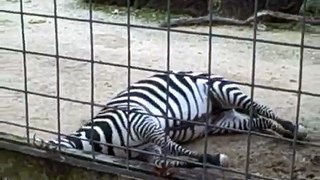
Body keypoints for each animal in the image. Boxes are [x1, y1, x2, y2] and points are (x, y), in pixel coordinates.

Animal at [32, 71, 304, 171]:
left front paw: (213, 158)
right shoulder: (147, 153)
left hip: (222, 88)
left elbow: (175, 148)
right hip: (225, 121)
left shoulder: (144, 123)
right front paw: (202, 162)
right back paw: (286, 132)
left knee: (260, 108)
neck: (97, 136)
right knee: (259, 121)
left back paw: (295, 129)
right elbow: (169, 161)